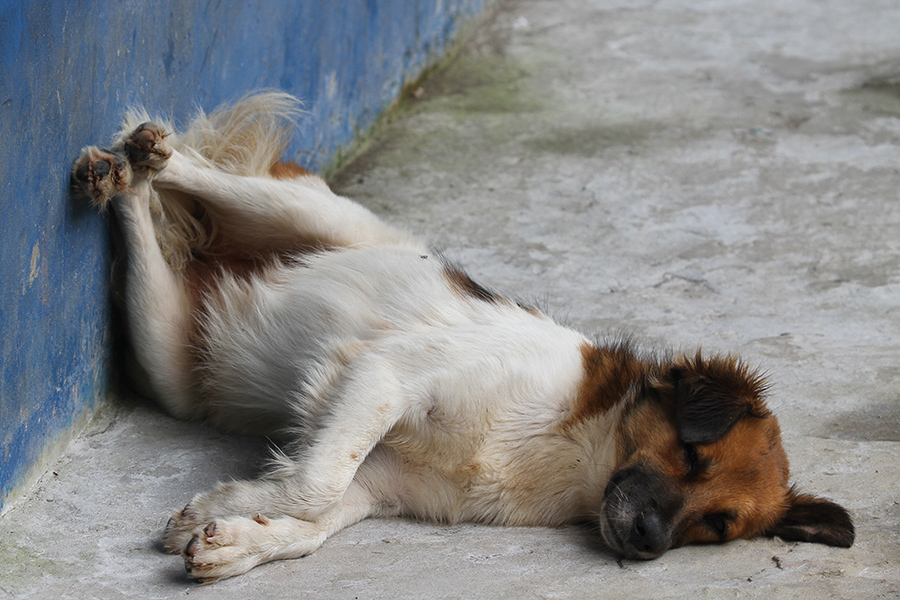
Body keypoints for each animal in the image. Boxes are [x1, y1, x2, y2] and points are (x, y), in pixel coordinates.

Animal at [74, 92, 856, 580]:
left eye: (718, 525)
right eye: (694, 457)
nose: (648, 544)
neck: (572, 450)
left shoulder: (384, 484)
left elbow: (316, 513)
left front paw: (230, 532)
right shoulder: (385, 373)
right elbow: (314, 483)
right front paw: (222, 512)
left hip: (167, 354)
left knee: (145, 231)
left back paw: (129, 182)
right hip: (301, 213)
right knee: (197, 169)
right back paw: (142, 154)